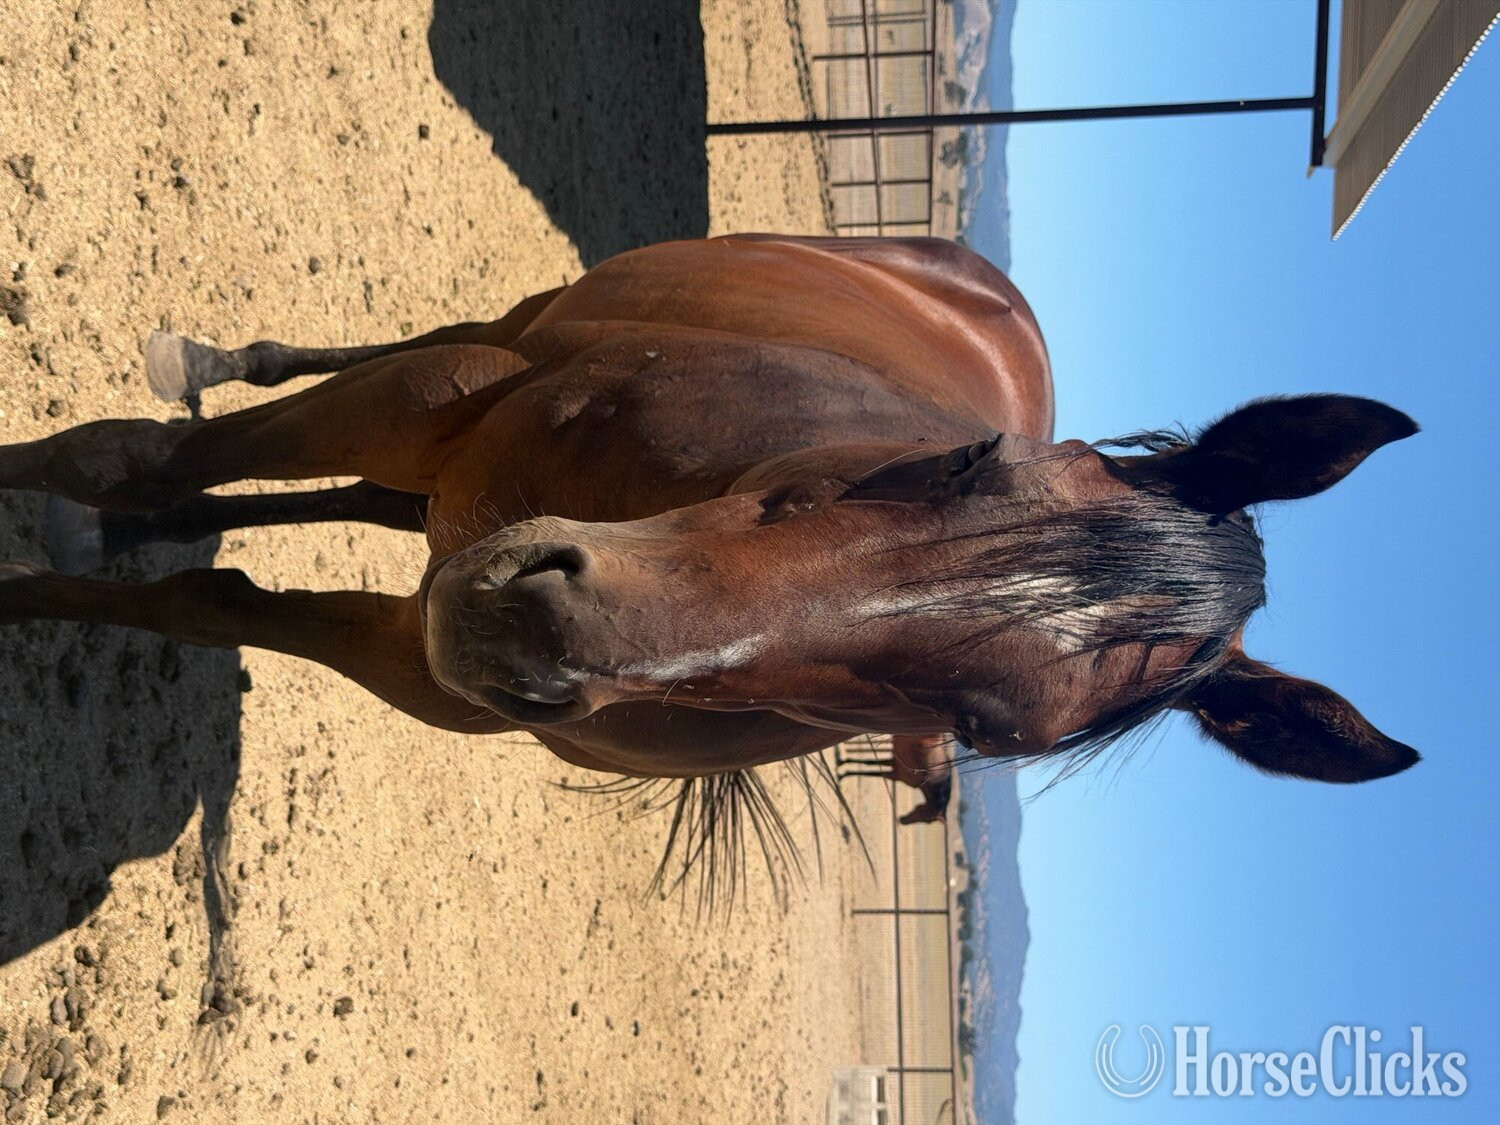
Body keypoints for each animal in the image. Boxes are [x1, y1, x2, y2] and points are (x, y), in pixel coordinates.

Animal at [0, 235, 1421, 815]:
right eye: (969, 460)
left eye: (982, 728)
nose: (538, 628)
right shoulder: (439, 398)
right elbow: (124, 458)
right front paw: (48, 506)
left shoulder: (424, 663)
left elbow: (212, 604)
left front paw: (57, 578)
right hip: (512, 333)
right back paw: (212, 365)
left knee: (369, 511)